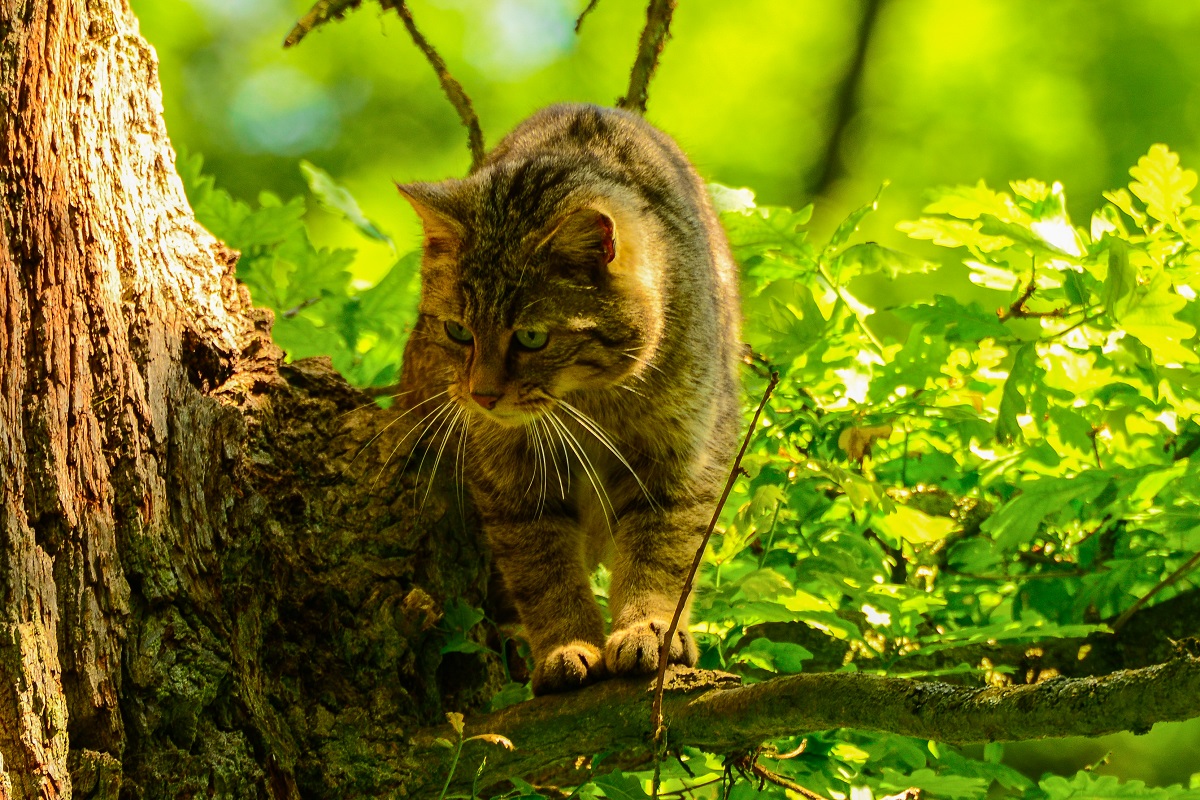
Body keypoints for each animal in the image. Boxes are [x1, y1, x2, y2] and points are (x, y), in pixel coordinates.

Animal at [398, 104, 739, 695]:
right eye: (458, 331)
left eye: (532, 337)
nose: (483, 396)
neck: (590, 403)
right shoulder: (512, 482)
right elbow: (544, 573)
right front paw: (567, 646)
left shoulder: (681, 460)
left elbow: (660, 556)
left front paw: (649, 629)